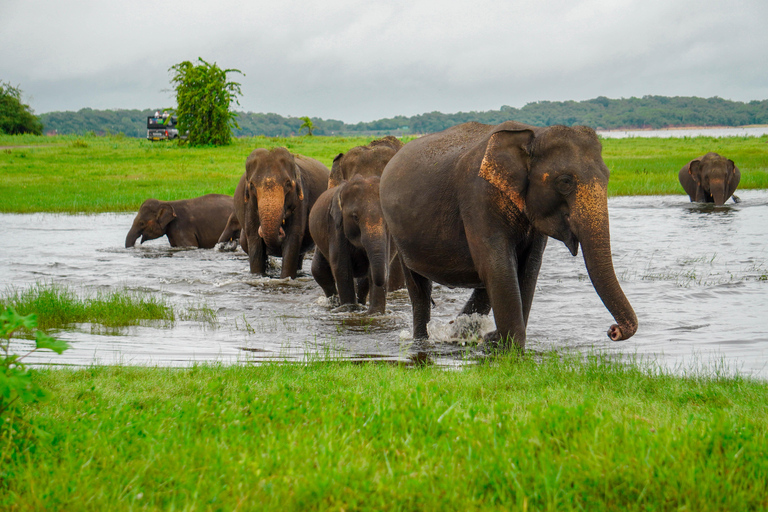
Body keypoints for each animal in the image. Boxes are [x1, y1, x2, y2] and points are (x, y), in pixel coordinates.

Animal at [227, 147, 329, 278]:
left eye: (288, 183)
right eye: (252, 185)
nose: (280, 230)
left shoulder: (300, 201)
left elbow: (293, 238)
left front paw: (286, 278)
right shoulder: (249, 205)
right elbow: (255, 240)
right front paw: (258, 276)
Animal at [309, 176, 395, 314]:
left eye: (386, 217)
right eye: (355, 217)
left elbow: (380, 266)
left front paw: (375, 313)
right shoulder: (336, 227)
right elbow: (342, 267)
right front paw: (349, 309)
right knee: (319, 271)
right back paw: (335, 304)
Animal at [380, 121, 638, 351]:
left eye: (607, 176)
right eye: (565, 181)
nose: (613, 330)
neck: (533, 134)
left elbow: (528, 268)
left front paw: (496, 341)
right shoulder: (478, 196)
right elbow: (498, 265)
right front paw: (507, 347)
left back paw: (457, 332)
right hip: (398, 232)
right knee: (419, 289)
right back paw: (424, 340)